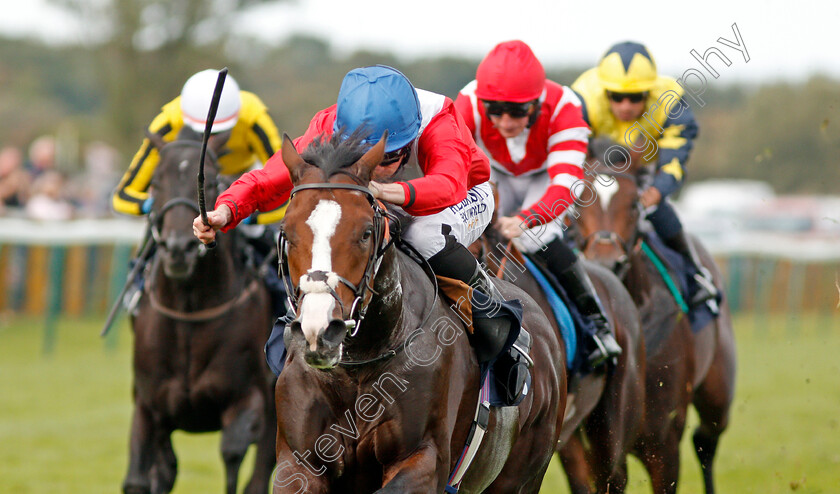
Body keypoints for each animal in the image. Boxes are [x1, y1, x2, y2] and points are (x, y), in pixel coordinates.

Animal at [121, 128, 276, 494]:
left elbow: (233, 457)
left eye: (214, 181)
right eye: (155, 182)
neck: (190, 311)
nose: (180, 249)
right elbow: (141, 477)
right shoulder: (148, 406)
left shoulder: (248, 399)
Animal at [272, 132, 568, 494]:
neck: (358, 367)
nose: (320, 331)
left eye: (366, 233)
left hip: (522, 474)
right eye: (287, 232)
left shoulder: (423, 459)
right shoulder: (299, 463)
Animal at [576, 166, 736, 494]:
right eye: (579, 204)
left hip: (718, 391)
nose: (606, 263)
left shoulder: (663, 444)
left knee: (706, 439)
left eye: (633, 205)